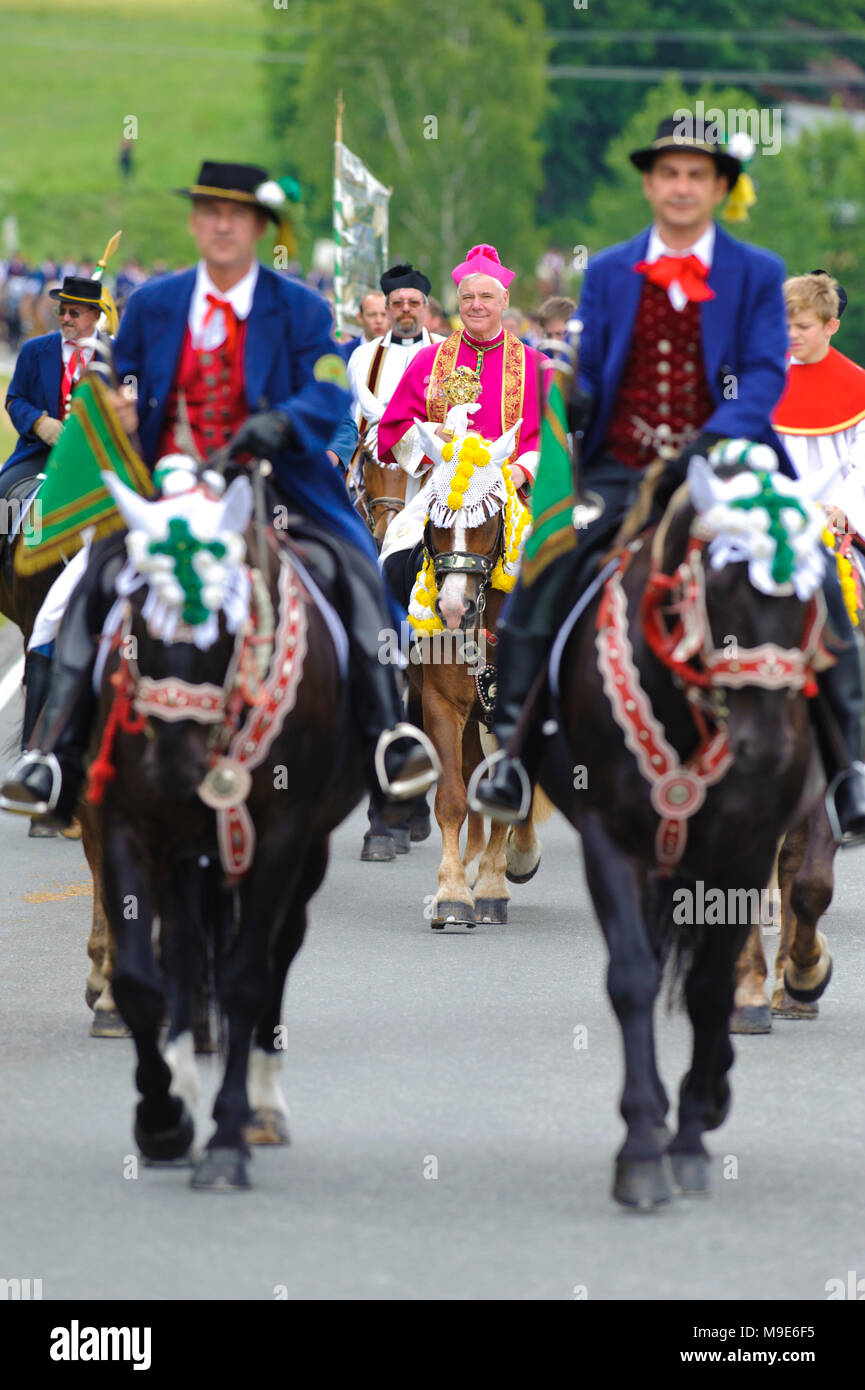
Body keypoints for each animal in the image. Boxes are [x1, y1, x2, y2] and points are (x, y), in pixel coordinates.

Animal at [92, 461, 369, 1189]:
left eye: (224, 625)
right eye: (140, 620)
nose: (175, 771)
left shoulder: (281, 836)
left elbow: (247, 978)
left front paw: (226, 1138)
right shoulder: (131, 826)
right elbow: (143, 980)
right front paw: (163, 1119)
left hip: (302, 855)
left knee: (275, 953)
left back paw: (262, 1109)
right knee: (187, 958)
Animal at [394, 417, 547, 928]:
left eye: (486, 519)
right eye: (435, 520)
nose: (453, 608)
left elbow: (510, 793)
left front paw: (497, 883)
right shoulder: (441, 704)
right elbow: (453, 797)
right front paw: (454, 893)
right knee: (470, 773)